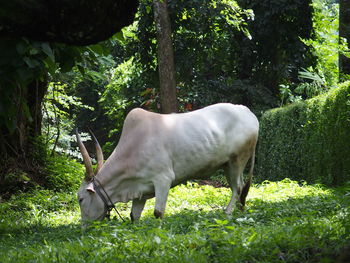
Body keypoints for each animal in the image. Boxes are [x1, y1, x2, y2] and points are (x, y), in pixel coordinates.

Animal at [76, 104, 258, 224]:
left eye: (80, 199)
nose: (84, 227)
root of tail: (247, 112)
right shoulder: (140, 189)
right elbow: (134, 216)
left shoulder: (163, 179)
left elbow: (158, 212)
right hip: (227, 164)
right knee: (240, 187)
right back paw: (240, 210)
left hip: (238, 160)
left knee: (238, 187)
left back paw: (228, 213)